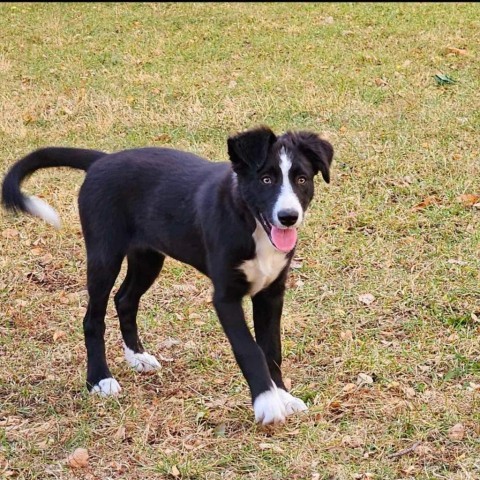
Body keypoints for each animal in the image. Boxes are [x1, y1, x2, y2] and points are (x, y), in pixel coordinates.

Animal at [1, 126, 334, 424]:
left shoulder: (271, 293)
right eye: (266, 179)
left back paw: (137, 357)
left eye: (302, 179)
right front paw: (266, 403)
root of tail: (102, 160)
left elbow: (271, 348)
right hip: (104, 255)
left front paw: (283, 396)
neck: (249, 220)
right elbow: (249, 349)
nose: (288, 217)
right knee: (93, 318)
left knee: (125, 300)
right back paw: (99, 379)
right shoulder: (225, 297)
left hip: (147, 257)